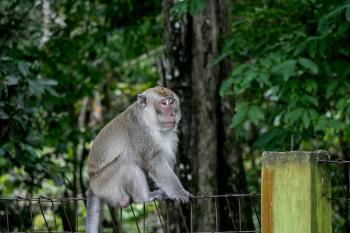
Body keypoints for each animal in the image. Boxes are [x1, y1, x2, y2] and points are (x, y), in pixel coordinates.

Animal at [86, 86, 193, 233]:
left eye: (172, 102)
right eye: (163, 103)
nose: (172, 114)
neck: (149, 121)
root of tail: (92, 184)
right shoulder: (140, 133)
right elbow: (155, 164)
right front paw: (180, 193)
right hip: (105, 184)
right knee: (128, 165)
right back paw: (144, 197)